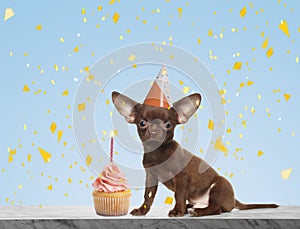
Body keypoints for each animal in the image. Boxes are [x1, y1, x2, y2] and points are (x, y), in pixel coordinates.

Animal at [111, 91, 278, 216]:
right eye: (142, 123)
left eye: (168, 124)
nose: (155, 130)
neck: (158, 153)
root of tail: (233, 200)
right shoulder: (151, 177)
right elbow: (148, 196)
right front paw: (142, 210)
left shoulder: (181, 178)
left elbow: (178, 195)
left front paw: (177, 211)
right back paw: (190, 208)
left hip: (219, 186)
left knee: (217, 208)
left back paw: (197, 211)